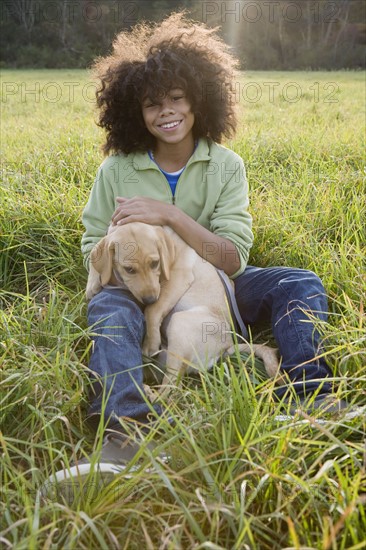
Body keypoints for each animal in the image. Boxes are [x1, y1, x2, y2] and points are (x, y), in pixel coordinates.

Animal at [86, 222, 280, 394]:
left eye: (155, 263)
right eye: (129, 270)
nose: (149, 299)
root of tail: (226, 346)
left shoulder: (177, 277)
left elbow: (153, 310)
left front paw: (150, 342)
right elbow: (96, 259)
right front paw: (93, 284)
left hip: (179, 326)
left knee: (172, 389)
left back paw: (151, 395)